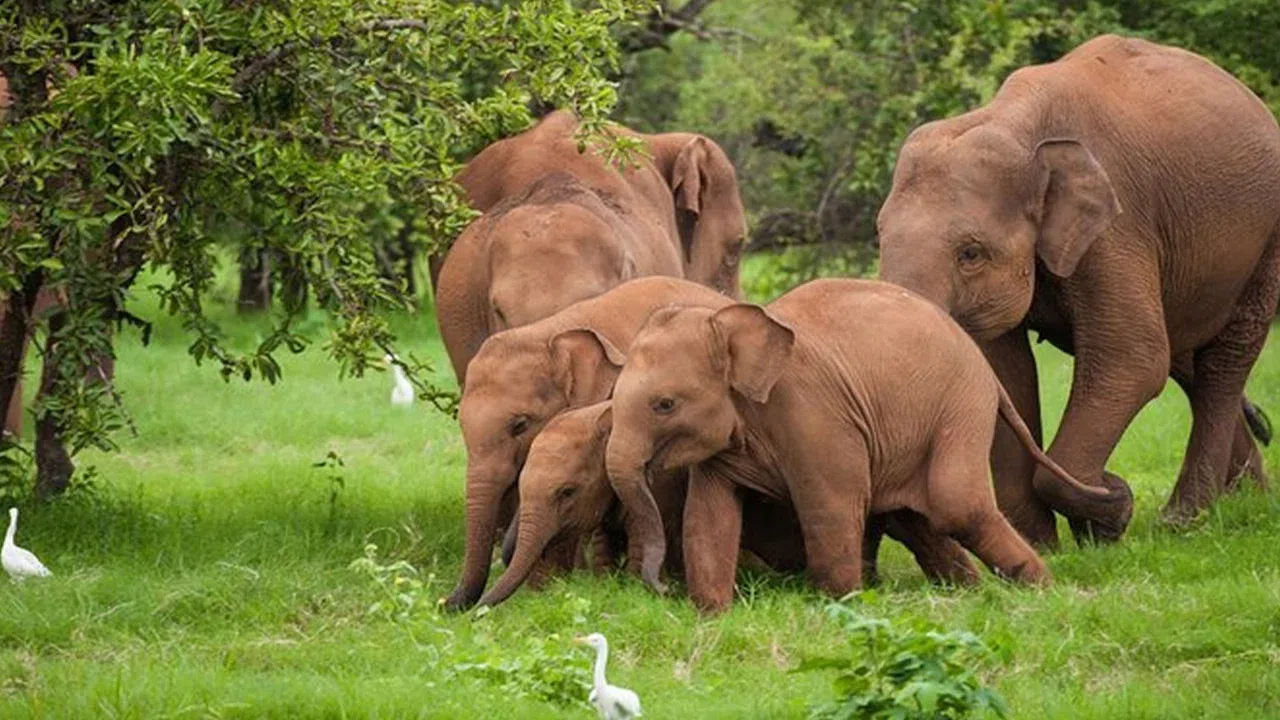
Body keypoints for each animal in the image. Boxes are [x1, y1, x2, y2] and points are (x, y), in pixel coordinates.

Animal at [600, 279, 1105, 612]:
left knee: (954, 505)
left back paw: (1042, 590)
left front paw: (842, 607)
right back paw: (972, 591)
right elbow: (709, 516)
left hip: (961, 405)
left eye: (664, 405)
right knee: (916, 519)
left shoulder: (815, 415)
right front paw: (713, 615)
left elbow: (831, 503)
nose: (659, 590)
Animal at [876, 35, 1280, 546]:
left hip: (1267, 240)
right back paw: (1248, 500)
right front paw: (1044, 543)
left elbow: (1132, 357)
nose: (1113, 483)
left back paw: (1184, 521)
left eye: (970, 253)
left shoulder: (1116, 226)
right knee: (1187, 360)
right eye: (879, 236)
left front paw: (1111, 511)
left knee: (1222, 362)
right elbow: (1005, 373)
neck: (1013, 123)